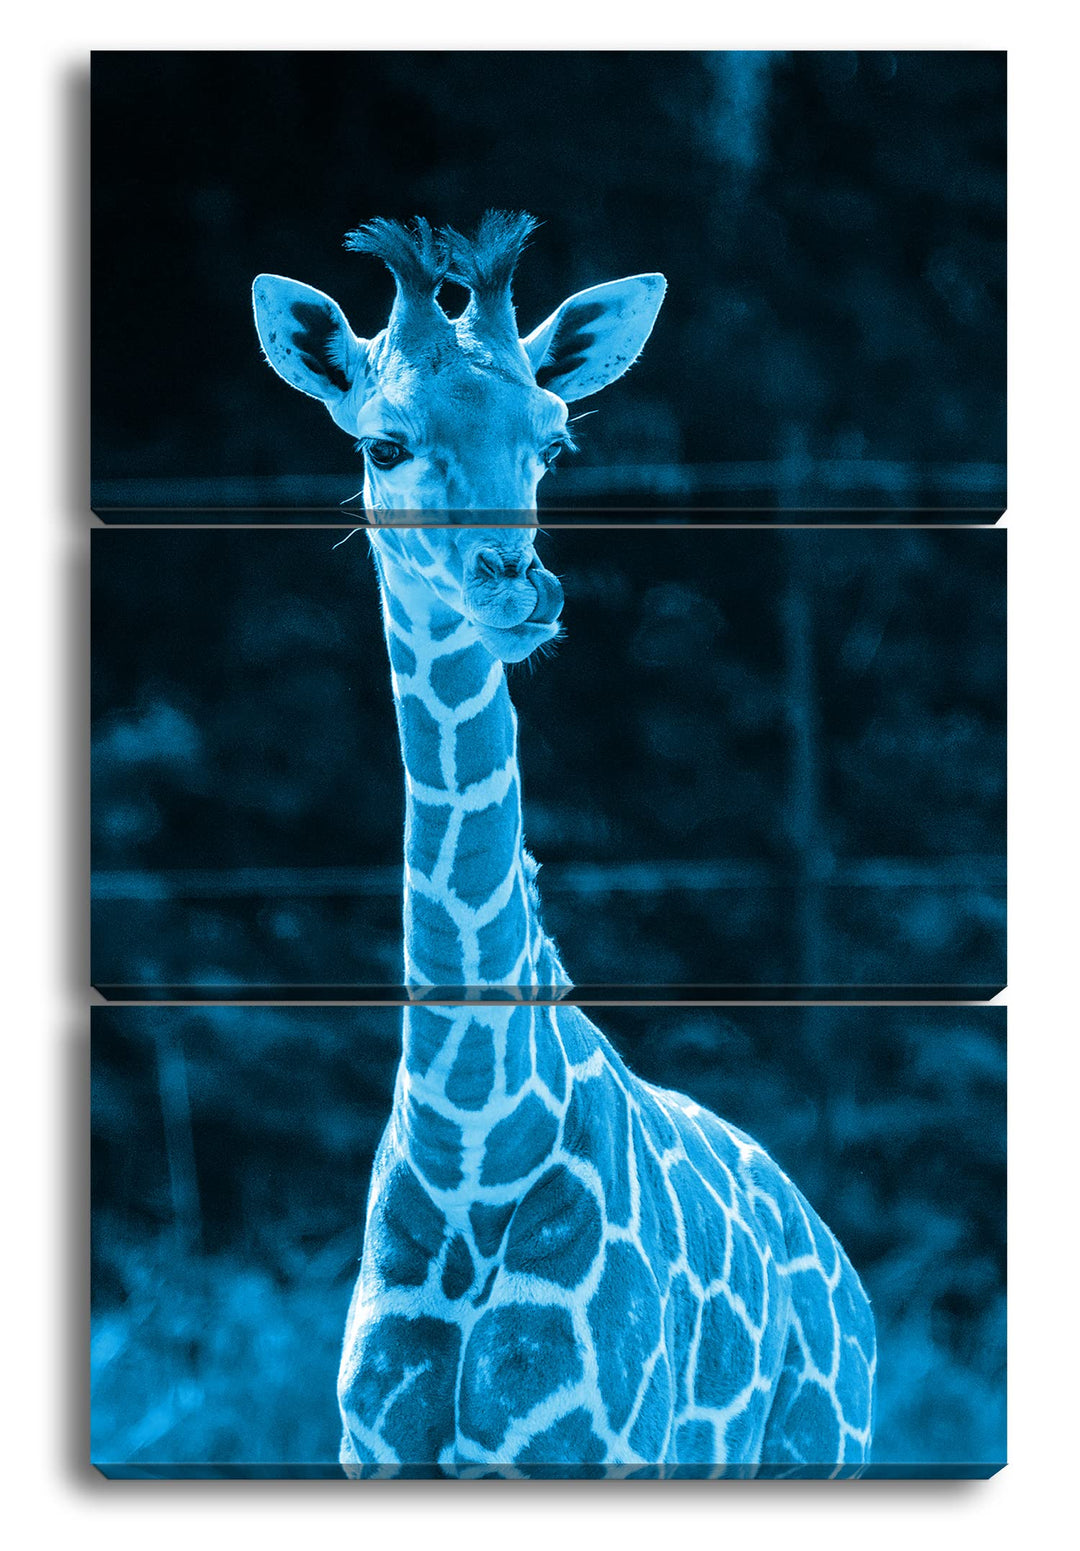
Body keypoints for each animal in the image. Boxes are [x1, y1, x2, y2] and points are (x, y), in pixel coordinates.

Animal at [253, 215, 876, 1477]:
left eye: (553, 439)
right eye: (384, 443)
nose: (520, 588)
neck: (471, 1144)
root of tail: (845, 1276)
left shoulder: (596, 1449)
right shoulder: (373, 1453)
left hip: (820, 1449)